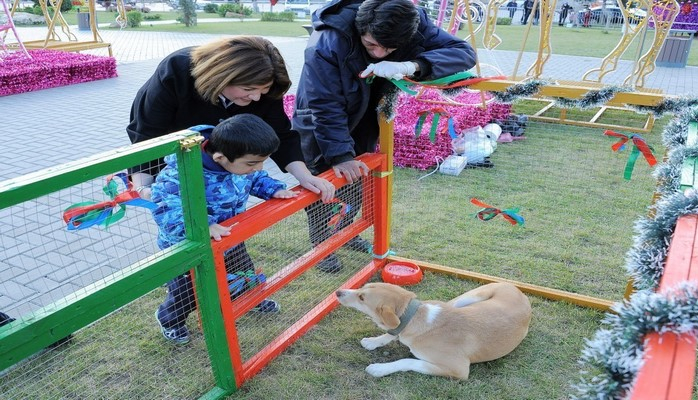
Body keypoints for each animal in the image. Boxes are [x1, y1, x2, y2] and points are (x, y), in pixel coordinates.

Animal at [334, 280, 532, 380]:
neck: (414, 318)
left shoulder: (458, 369)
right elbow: (392, 333)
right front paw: (374, 341)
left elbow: (408, 360)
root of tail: (517, 289)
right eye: (362, 287)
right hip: (463, 300)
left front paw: (379, 368)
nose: (338, 292)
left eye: (361, 297)